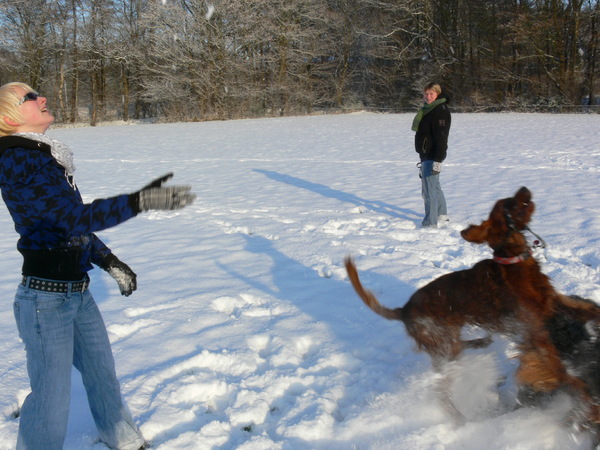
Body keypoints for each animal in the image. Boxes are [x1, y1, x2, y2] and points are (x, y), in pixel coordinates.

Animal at [344, 187, 600, 432]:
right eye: (509, 203)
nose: (524, 188)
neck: (513, 261)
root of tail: (403, 310)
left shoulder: (552, 302)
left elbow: (582, 307)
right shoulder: (534, 331)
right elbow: (559, 368)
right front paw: (582, 395)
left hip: (449, 341)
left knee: (459, 349)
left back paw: (480, 342)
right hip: (442, 347)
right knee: (441, 391)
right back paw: (460, 419)